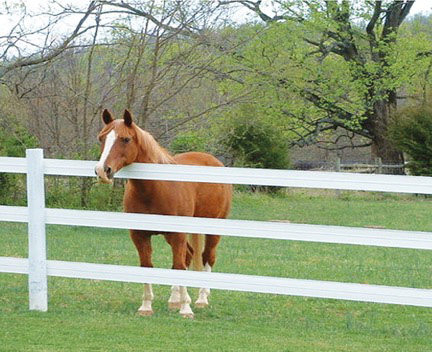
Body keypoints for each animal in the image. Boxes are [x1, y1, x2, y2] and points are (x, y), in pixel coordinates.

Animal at [93, 108, 231, 318]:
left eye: (126, 139)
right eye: (101, 138)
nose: (102, 171)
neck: (156, 188)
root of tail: (212, 160)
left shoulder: (178, 234)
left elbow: (179, 266)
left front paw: (186, 309)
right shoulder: (140, 235)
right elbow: (148, 266)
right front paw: (146, 307)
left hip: (213, 228)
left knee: (207, 256)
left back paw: (201, 299)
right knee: (189, 255)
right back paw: (174, 299)